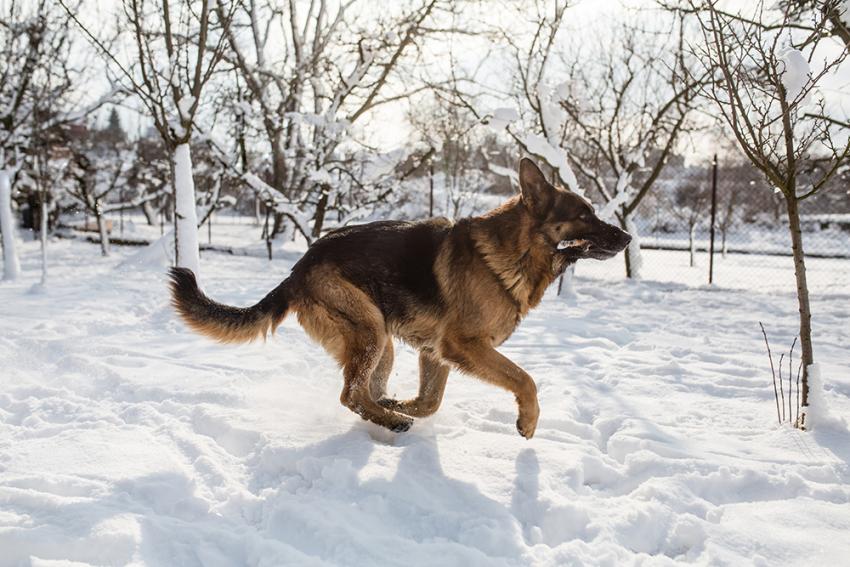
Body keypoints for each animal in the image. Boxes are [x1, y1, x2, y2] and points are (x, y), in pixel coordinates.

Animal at [167, 160, 628, 440]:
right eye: (584, 214)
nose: (626, 237)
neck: (514, 251)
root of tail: (299, 268)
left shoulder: (436, 352)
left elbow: (430, 402)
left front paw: (401, 403)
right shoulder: (463, 345)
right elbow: (524, 378)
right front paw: (528, 420)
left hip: (381, 342)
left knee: (363, 390)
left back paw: (386, 411)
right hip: (370, 330)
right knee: (350, 394)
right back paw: (390, 421)